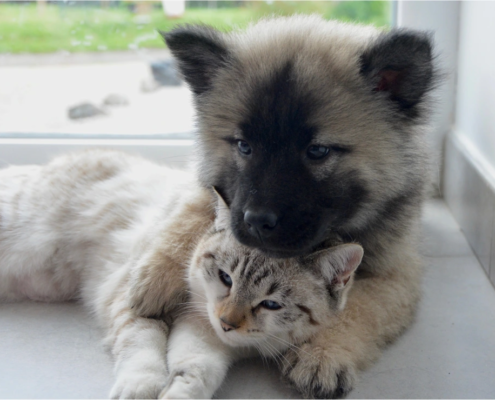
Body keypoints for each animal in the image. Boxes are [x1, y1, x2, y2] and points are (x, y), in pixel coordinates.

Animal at [0, 149, 364, 396]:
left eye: (271, 304)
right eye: (226, 278)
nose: (227, 323)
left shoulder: (206, 338)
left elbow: (194, 371)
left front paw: (176, 391)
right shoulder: (136, 302)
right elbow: (142, 346)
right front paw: (139, 389)